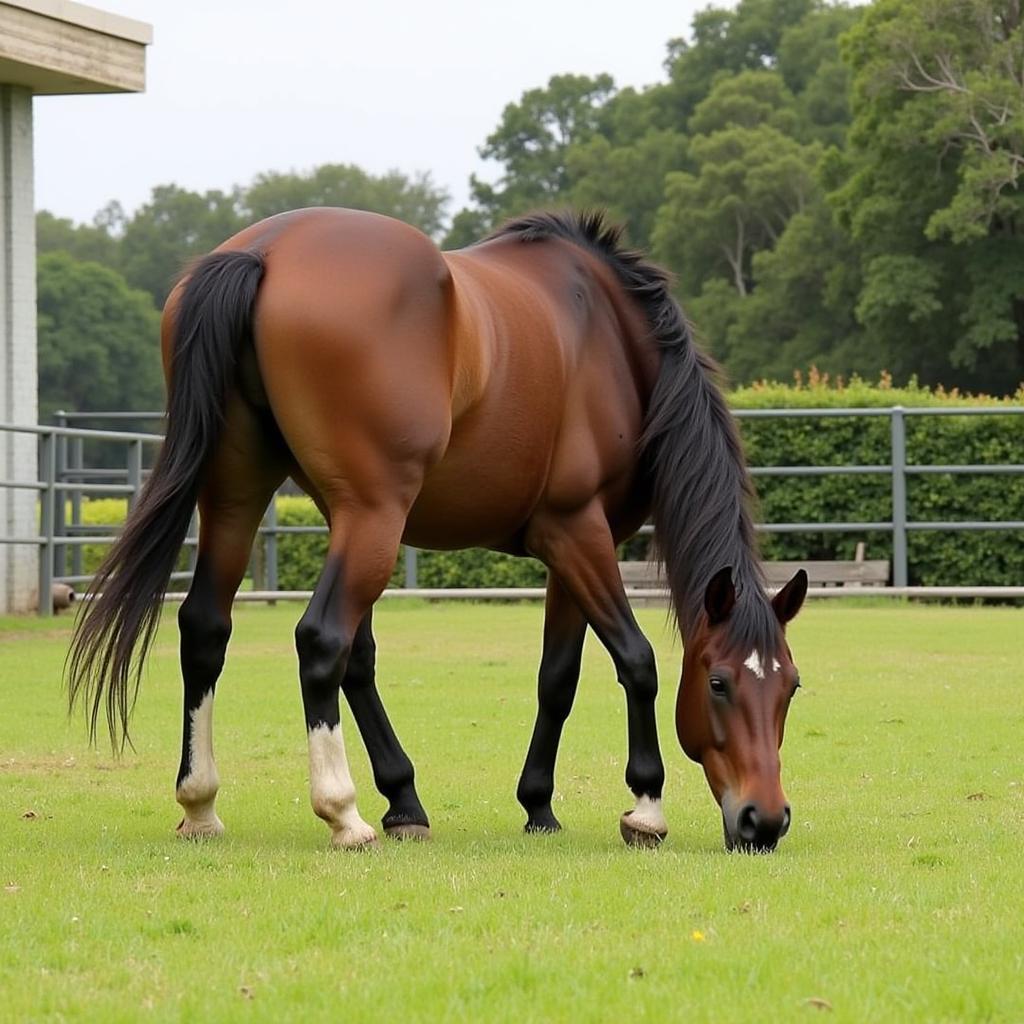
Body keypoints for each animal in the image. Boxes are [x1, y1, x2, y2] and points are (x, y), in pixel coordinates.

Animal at [68, 205, 806, 847]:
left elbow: (556, 678)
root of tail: (266, 250)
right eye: (719, 683)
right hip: (373, 515)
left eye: (791, 686)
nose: (764, 821)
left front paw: (534, 804)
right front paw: (646, 809)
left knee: (210, 630)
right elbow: (636, 660)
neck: (615, 342)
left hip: (240, 495)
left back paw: (208, 803)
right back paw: (343, 813)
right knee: (321, 639)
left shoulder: (562, 548)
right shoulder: (579, 532)